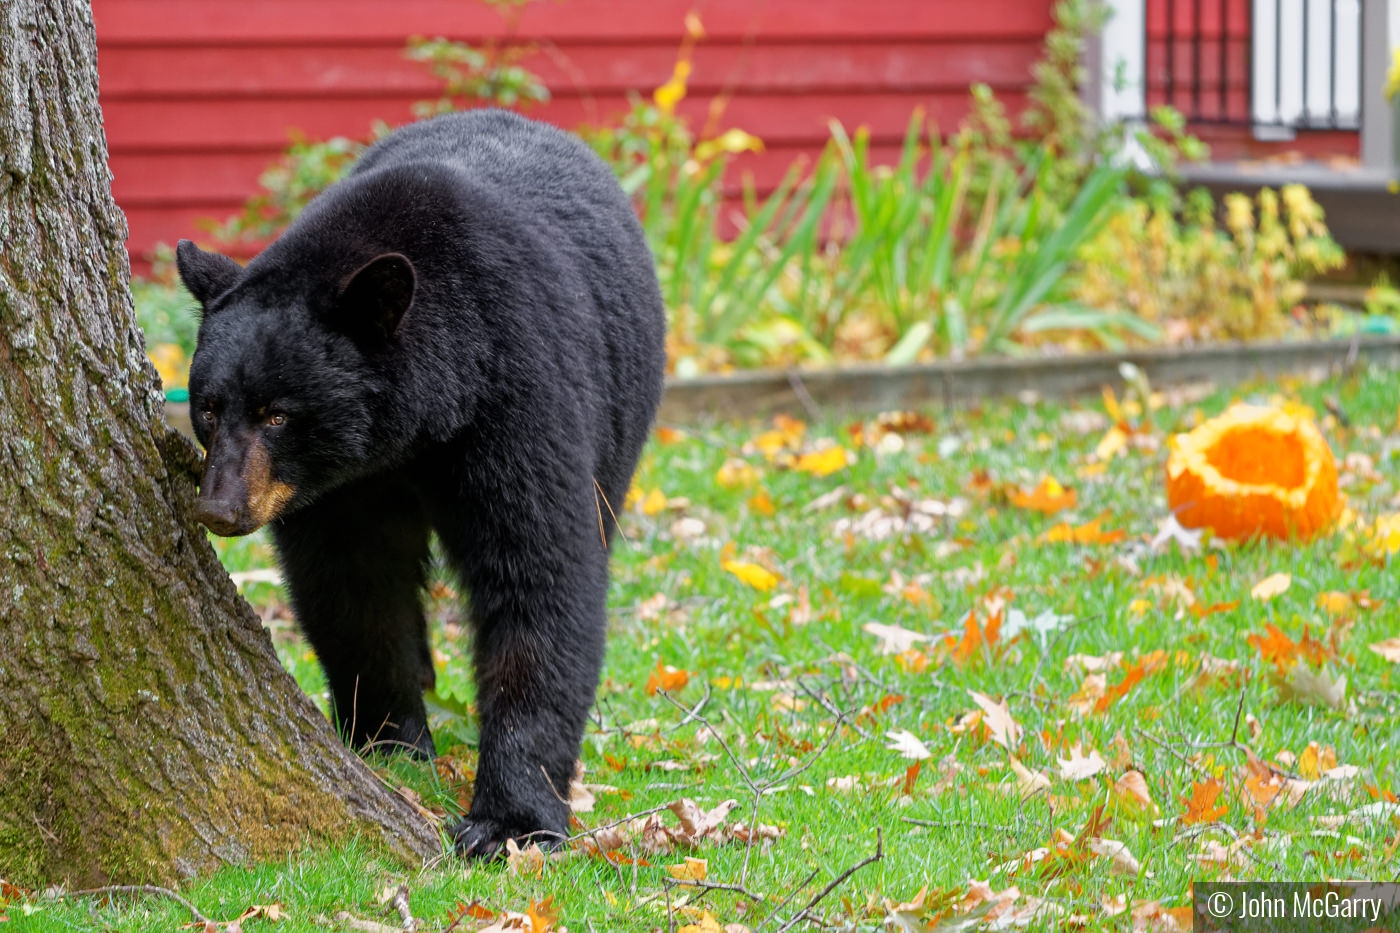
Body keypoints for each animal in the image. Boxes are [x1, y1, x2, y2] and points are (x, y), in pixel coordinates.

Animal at [175, 105, 666, 851]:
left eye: (278, 414)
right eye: (207, 407)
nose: (221, 508)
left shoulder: (516, 396)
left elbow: (540, 575)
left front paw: (508, 821)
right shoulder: (344, 489)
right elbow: (354, 586)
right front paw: (391, 740)